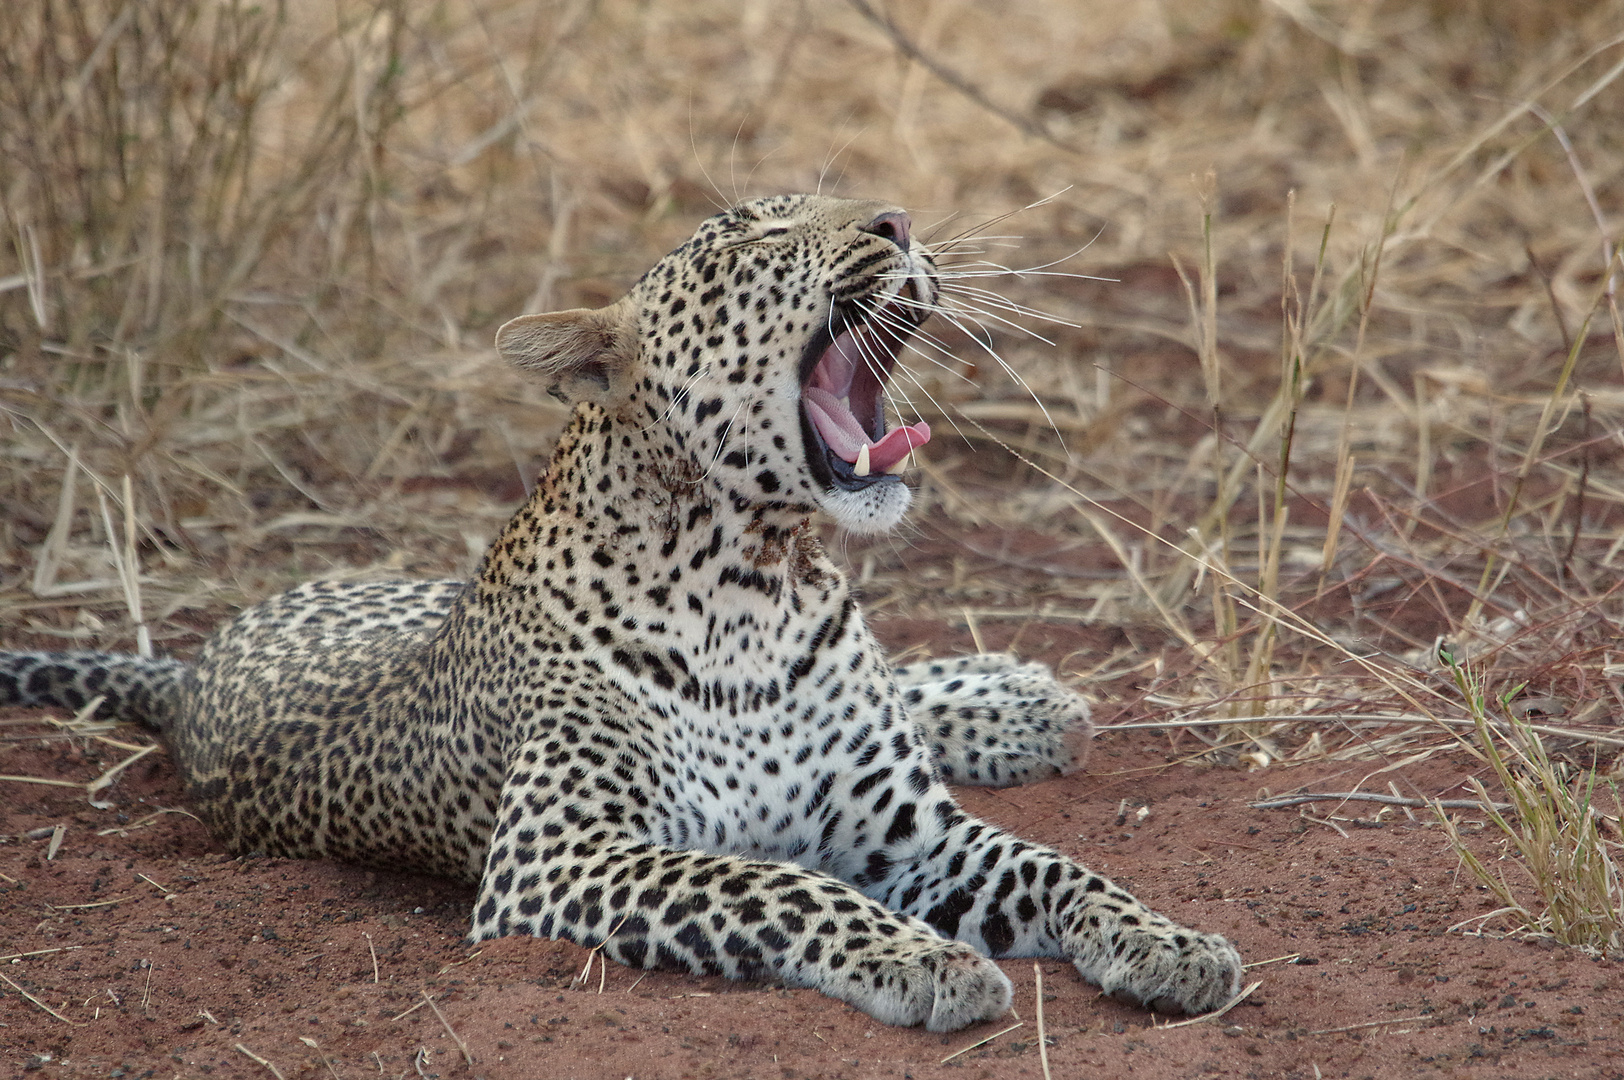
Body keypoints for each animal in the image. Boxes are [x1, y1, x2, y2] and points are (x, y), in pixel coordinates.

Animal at [3, 191, 1240, 1026]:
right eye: (755, 237)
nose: (896, 219)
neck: (756, 585)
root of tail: (196, 665)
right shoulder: (559, 856)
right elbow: (773, 880)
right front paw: (921, 961)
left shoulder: (908, 827)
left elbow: (1059, 869)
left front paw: (1171, 944)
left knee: (913, 686)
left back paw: (1020, 704)